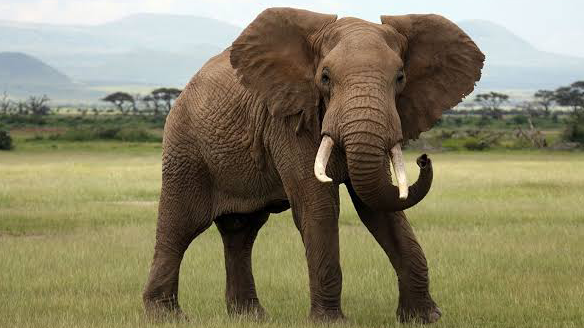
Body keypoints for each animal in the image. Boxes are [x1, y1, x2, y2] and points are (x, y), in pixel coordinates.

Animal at [143, 6, 484, 324]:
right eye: (325, 78)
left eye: (400, 78)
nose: (423, 159)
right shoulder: (289, 119)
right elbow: (318, 206)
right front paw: (331, 322)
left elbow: (380, 207)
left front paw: (425, 318)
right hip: (185, 148)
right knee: (180, 226)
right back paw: (166, 317)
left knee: (241, 231)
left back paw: (250, 317)